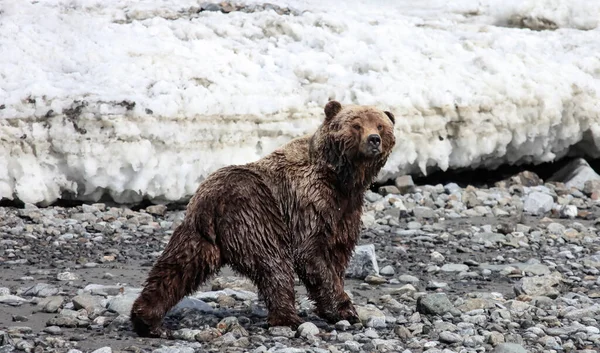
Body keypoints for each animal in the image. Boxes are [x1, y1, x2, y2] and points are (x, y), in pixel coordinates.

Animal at [129, 100, 396, 336]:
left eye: (380, 125)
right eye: (356, 125)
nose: (374, 139)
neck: (341, 179)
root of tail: (212, 203)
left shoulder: (345, 212)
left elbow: (338, 253)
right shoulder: (308, 203)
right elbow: (312, 254)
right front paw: (343, 309)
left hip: (198, 233)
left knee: (177, 267)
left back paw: (147, 320)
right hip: (257, 216)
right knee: (274, 264)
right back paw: (288, 318)